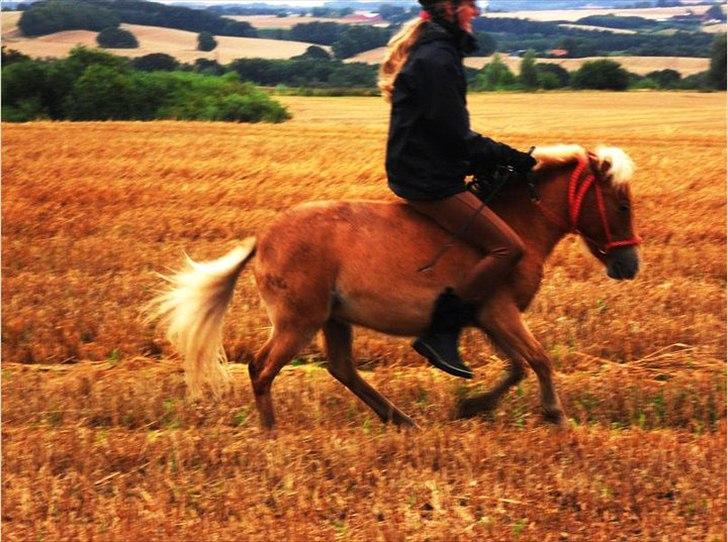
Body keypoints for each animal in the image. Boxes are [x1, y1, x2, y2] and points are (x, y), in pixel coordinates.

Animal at [148, 146, 636, 434]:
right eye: (621, 205)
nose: (629, 265)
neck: (518, 224)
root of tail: (263, 238)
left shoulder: (488, 317)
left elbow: (517, 365)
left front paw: (472, 406)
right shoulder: (500, 313)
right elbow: (538, 359)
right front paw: (555, 415)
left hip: (334, 318)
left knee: (342, 369)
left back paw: (400, 420)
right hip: (298, 321)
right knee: (261, 367)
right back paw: (272, 433)